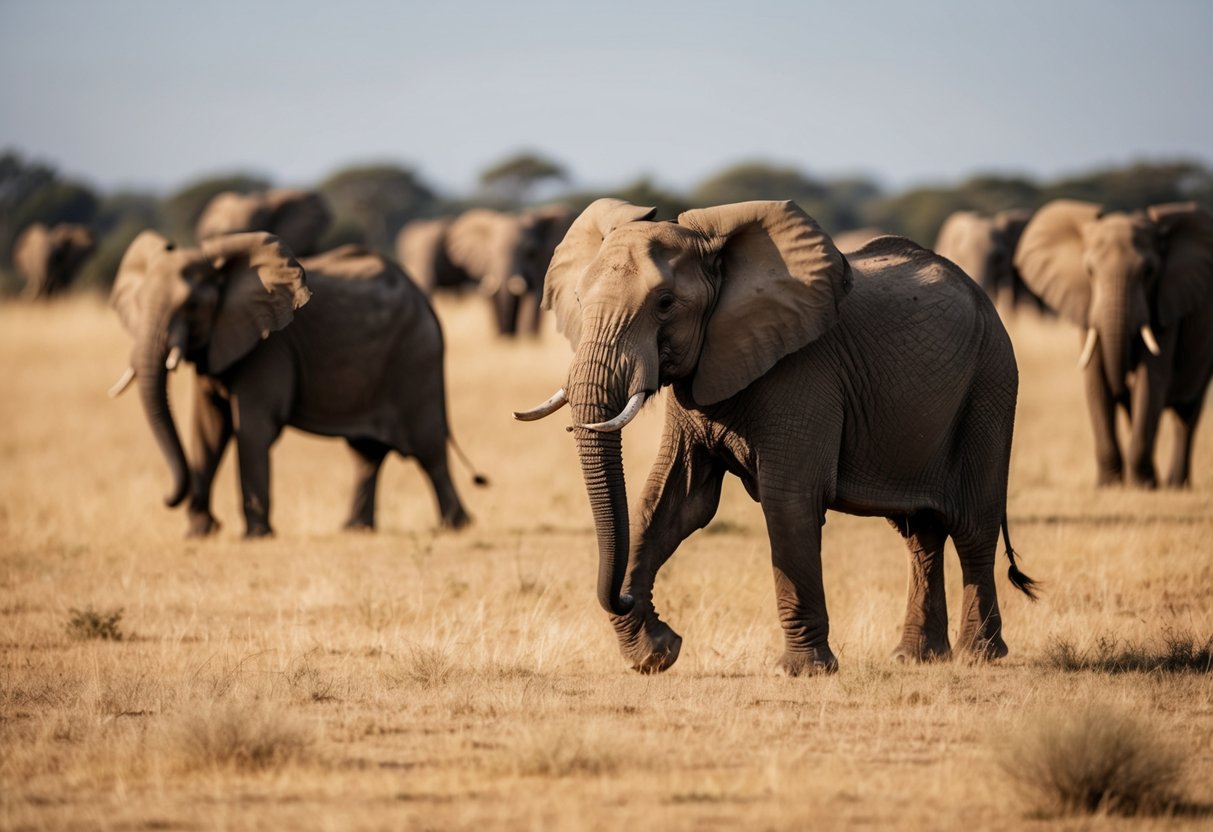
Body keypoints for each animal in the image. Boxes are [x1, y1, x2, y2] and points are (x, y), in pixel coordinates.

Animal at [109, 230, 475, 537]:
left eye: (193, 305)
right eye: (137, 304)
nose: (166, 497)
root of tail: (425, 301)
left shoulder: (268, 346)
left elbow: (251, 428)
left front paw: (255, 536)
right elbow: (208, 429)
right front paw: (199, 533)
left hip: (415, 359)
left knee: (428, 450)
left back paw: (455, 526)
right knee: (366, 454)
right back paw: (354, 529)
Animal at [396, 206, 573, 335]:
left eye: (531, 252)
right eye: (490, 253)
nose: (509, 334)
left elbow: (533, 297)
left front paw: (527, 341)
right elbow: (492, 294)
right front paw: (502, 341)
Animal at [514, 199, 1035, 675]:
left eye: (664, 304)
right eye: (577, 300)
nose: (623, 597)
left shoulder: (805, 372)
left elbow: (789, 501)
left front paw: (803, 671)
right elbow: (672, 503)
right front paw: (654, 655)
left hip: (991, 385)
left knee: (972, 526)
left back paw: (980, 656)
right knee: (921, 534)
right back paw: (916, 657)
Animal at [1014, 199, 1213, 487]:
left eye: (1148, 272)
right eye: (1089, 271)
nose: (1123, 385)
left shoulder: (1164, 305)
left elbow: (1150, 380)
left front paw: (1142, 486)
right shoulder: (1087, 307)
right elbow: (1096, 381)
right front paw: (1109, 485)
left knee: (1187, 413)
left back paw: (1174, 485)